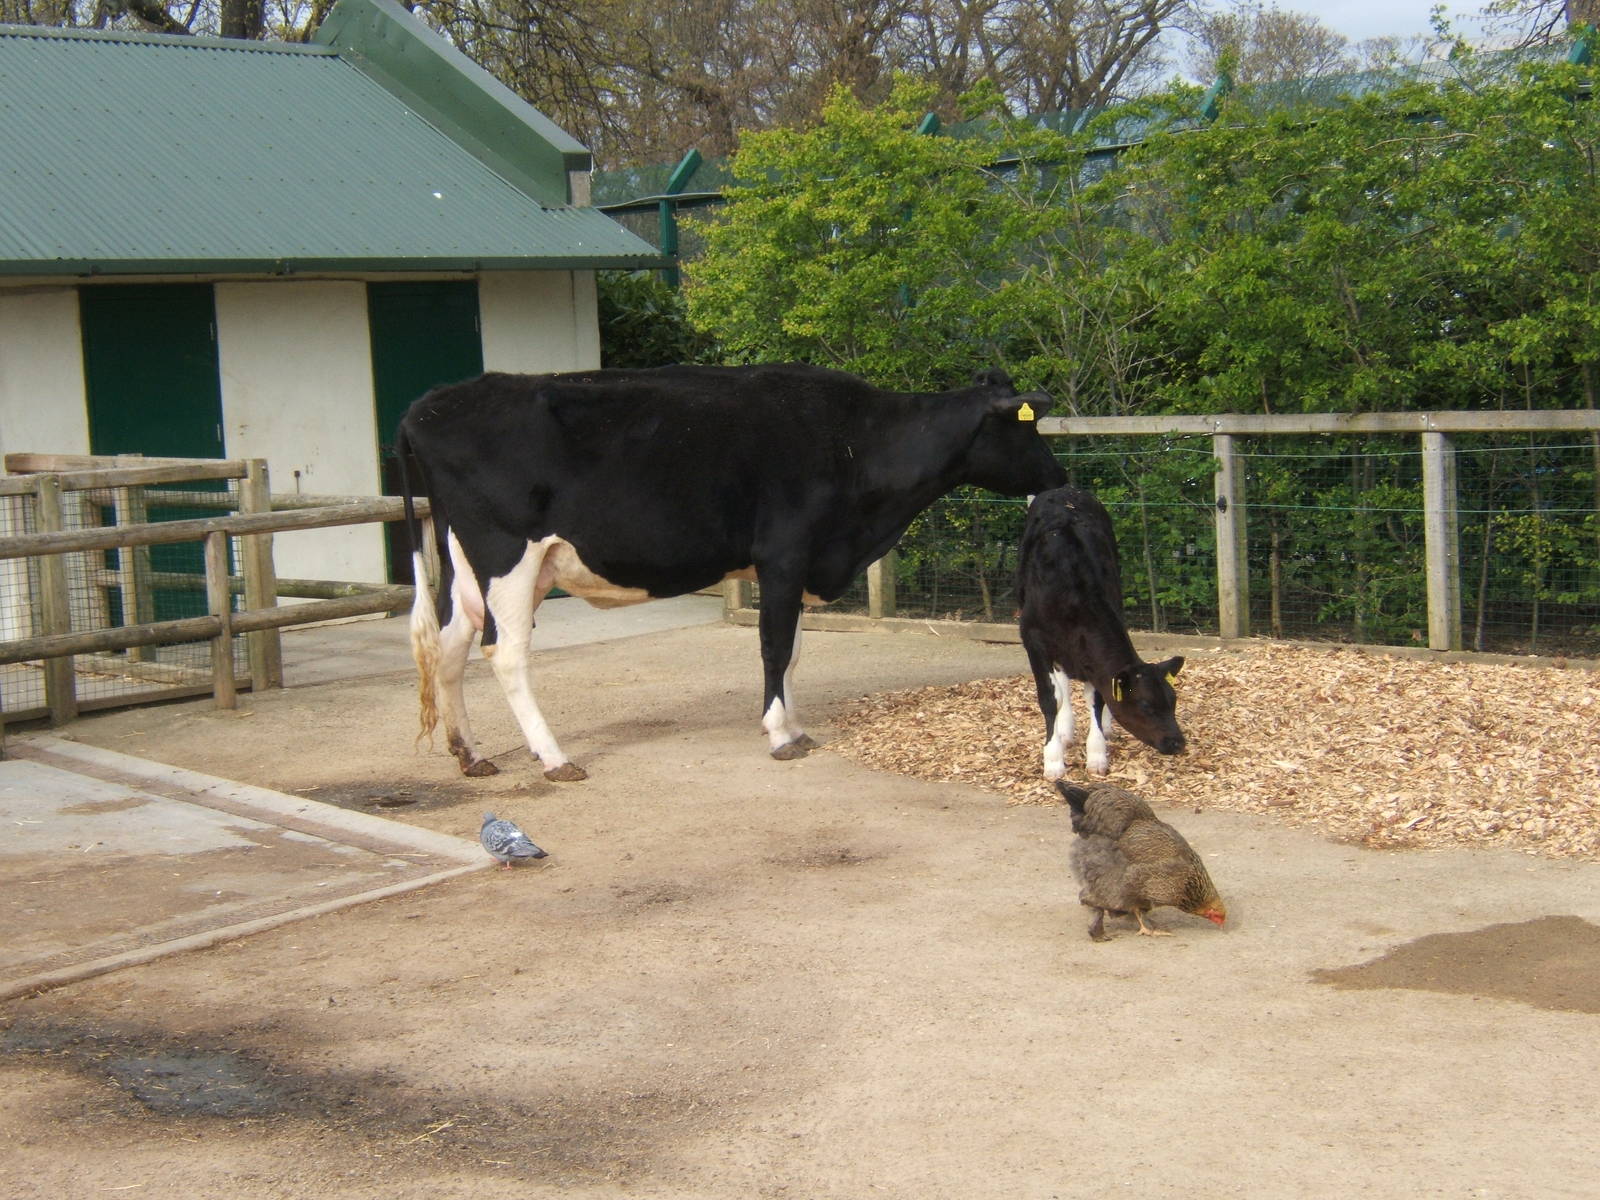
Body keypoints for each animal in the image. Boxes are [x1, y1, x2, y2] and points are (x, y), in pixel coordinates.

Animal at [396, 363, 1067, 781]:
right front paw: (779, 734)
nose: (1061, 478)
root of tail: (429, 406)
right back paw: (555, 757)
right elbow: (774, 647)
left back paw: (469, 754)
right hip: (508, 556)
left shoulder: (798, 565)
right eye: (1027, 426)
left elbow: (793, 651)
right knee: (505, 653)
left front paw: (795, 724)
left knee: (449, 648)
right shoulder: (784, 554)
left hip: (467, 562)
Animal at [1017, 485, 1186, 779]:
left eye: (1172, 700)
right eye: (1145, 705)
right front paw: (1053, 760)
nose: (1177, 742)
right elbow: (1050, 698)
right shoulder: (1032, 638)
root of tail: (1065, 490)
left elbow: (1098, 697)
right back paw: (1064, 731)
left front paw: (1096, 754)